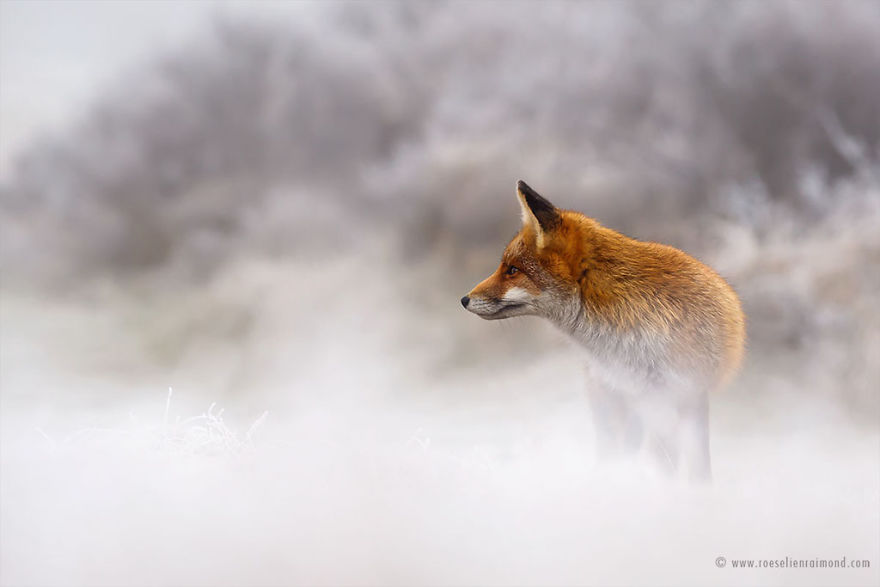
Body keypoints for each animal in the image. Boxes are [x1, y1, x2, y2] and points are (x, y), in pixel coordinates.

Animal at [461, 180, 745, 480]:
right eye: (504, 267)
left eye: (512, 270)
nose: (464, 299)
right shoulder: (617, 397)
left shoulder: (675, 397)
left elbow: (682, 463)